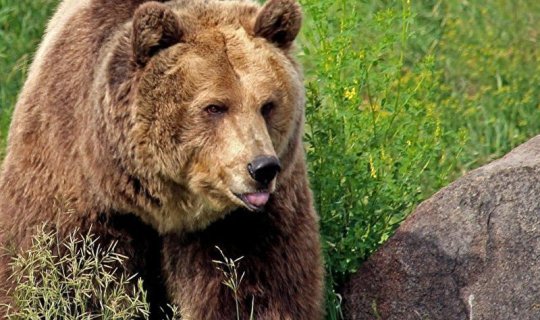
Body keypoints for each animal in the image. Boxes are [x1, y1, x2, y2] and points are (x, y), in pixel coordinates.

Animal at [0, 0, 322, 318]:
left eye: (267, 105)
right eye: (215, 107)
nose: (262, 168)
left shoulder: (245, 224)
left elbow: (250, 288)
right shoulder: (77, 192)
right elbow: (64, 277)